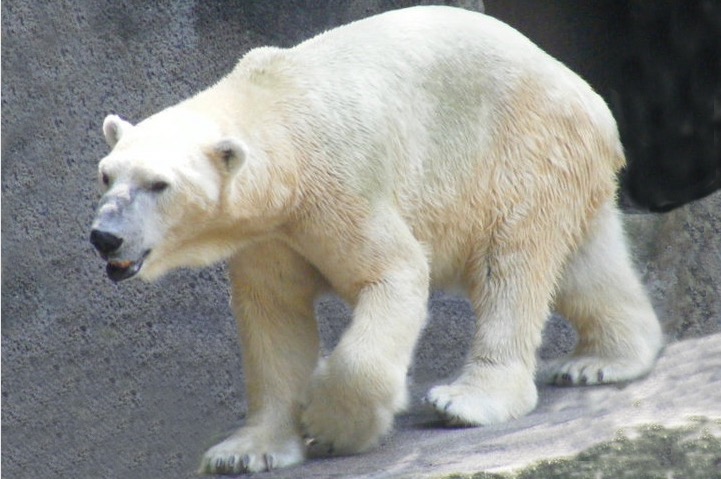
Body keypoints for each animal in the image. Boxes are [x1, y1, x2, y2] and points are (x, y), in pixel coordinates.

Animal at [91, 4, 664, 476]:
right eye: (106, 175)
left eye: (159, 184)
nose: (104, 237)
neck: (276, 106)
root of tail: (596, 106)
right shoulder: (270, 233)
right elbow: (274, 315)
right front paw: (245, 451)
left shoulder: (338, 184)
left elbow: (394, 273)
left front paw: (329, 424)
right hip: (564, 168)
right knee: (585, 265)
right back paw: (602, 360)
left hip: (520, 153)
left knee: (511, 267)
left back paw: (467, 399)